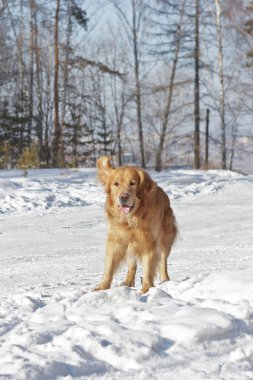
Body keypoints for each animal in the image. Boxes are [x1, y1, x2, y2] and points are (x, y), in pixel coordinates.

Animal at [94, 156, 177, 292]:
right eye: (116, 184)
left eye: (132, 183)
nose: (123, 197)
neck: (131, 220)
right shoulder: (115, 240)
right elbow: (109, 267)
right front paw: (102, 287)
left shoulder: (149, 242)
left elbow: (148, 269)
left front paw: (146, 289)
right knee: (132, 264)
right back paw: (127, 282)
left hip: (165, 238)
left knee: (163, 260)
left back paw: (165, 280)